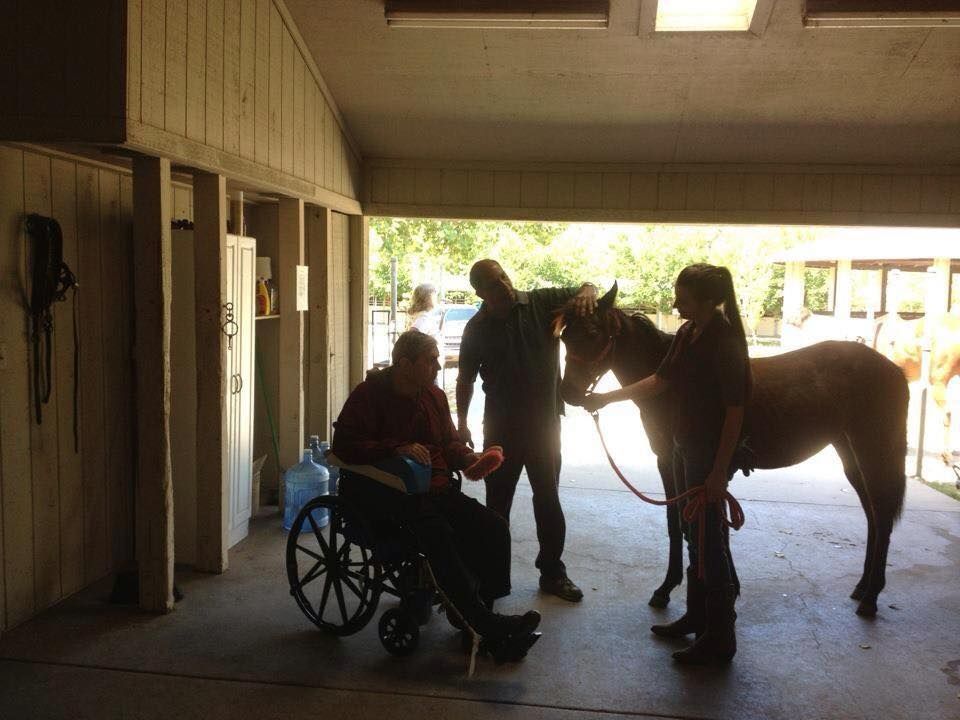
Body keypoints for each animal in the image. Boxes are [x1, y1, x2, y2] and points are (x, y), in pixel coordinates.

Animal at [556, 284, 908, 616]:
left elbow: (682, 521)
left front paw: (671, 588)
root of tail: (893, 369)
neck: (675, 384)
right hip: (851, 455)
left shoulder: (677, 461)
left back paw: (871, 598)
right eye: (564, 335)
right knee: (874, 515)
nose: (568, 393)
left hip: (873, 451)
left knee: (882, 515)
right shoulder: (671, 462)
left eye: (592, 332)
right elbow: (677, 520)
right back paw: (862, 588)